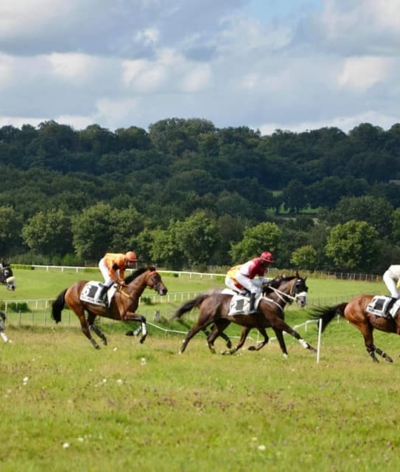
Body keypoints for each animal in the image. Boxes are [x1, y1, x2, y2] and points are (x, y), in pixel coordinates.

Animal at [171, 272, 316, 358]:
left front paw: (286, 355)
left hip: (222, 322)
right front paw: (309, 347)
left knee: (211, 338)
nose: (303, 301)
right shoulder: (275, 321)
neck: (272, 299)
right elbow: (293, 332)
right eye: (297, 286)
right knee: (192, 332)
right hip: (205, 319)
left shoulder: (263, 325)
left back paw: (214, 351)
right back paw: (181, 350)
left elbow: (275, 341)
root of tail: (207, 296)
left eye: (306, 288)